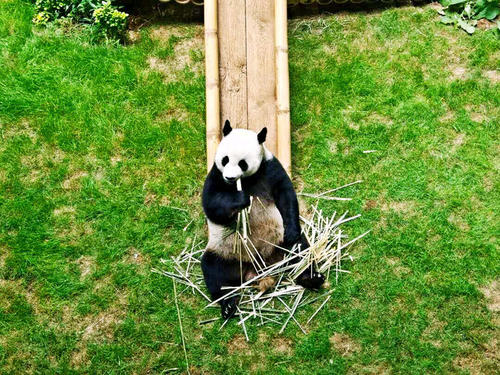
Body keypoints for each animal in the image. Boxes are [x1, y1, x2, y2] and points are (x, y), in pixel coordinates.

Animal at [201, 121, 326, 320]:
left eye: (242, 163)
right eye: (225, 159)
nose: (230, 177)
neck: (245, 181)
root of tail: (258, 269)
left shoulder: (270, 168)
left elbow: (286, 195)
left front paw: (292, 230)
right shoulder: (215, 175)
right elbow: (212, 205)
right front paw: (240, 200)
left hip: (279, 243)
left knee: (301, 252)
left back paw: (311, 277)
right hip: (224, 251)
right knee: (215, 272)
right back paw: (227, 304)